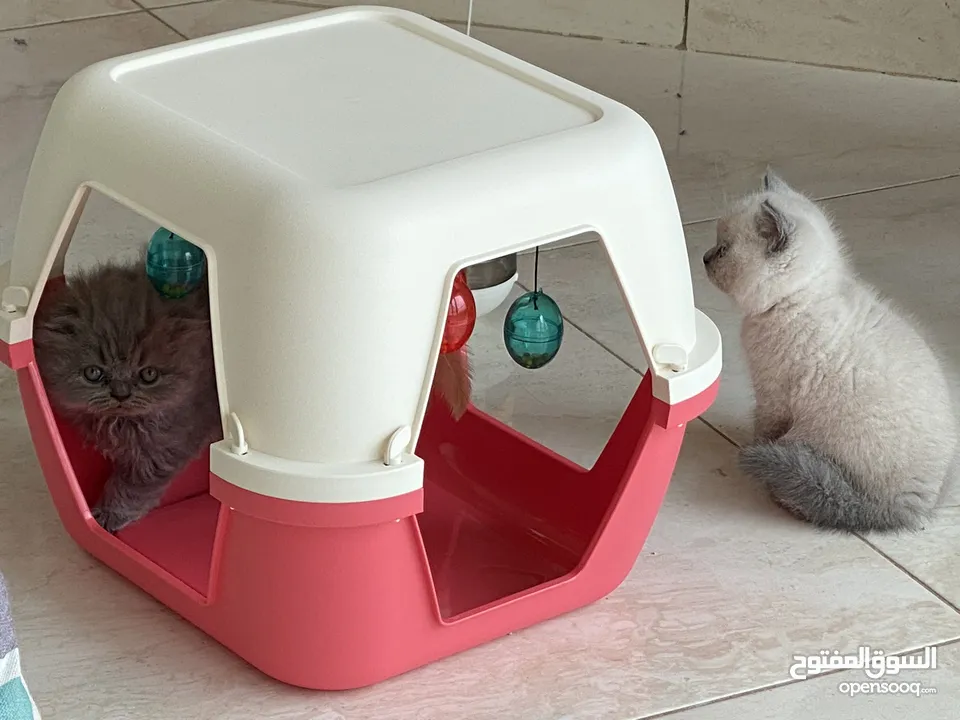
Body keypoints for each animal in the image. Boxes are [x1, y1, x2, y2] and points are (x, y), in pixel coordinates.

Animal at [33, 258, 221, 536]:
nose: (120, 393)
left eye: (149, 374)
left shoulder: (161, 450)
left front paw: (107, 516)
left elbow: (129, 489)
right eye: (93, 373)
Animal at [700, 172, 956, 536]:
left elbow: (763, 430)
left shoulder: (773, 397)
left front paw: (753, 448)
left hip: (812, 437)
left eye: (723, 250)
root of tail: (909, 507)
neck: (798, 297)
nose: (705, 257)